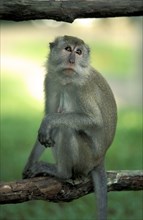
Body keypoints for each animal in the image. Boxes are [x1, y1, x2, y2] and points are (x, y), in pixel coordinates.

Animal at [22, 35, 117, 220]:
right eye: (68, 49)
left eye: (79, 52)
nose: (72, 60)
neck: (66, 81)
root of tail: (100, 159)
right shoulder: (50, 81)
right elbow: (48, 121)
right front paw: (28, 166)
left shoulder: (82, 88)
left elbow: (94, 120)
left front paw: (48, 121)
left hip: (87, 158)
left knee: (66, 128)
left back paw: (62, 173)